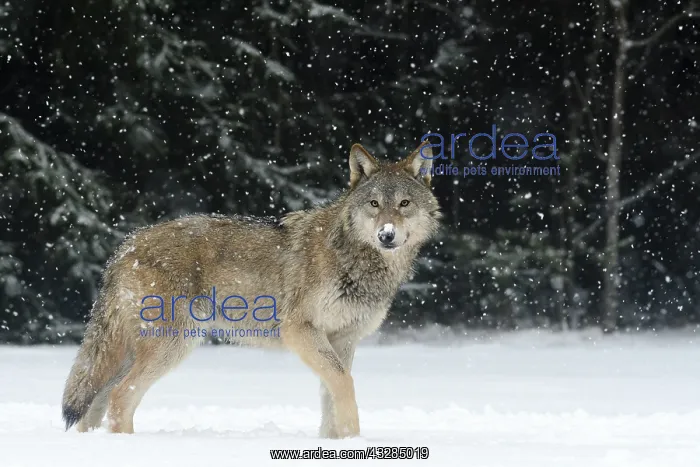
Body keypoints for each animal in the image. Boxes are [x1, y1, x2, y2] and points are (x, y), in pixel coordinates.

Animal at [61, 141, 441, 438]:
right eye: (374, 204)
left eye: (404, 204)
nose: (386, 235)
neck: (354, 259)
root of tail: (124, 248)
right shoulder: (300, 330)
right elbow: (344, 385)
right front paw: (354, 440)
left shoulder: (344, 340)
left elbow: (331, 396)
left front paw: (337, 443)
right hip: (174, 344)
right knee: (120, 398)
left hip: (135, 351)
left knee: (96, 402)